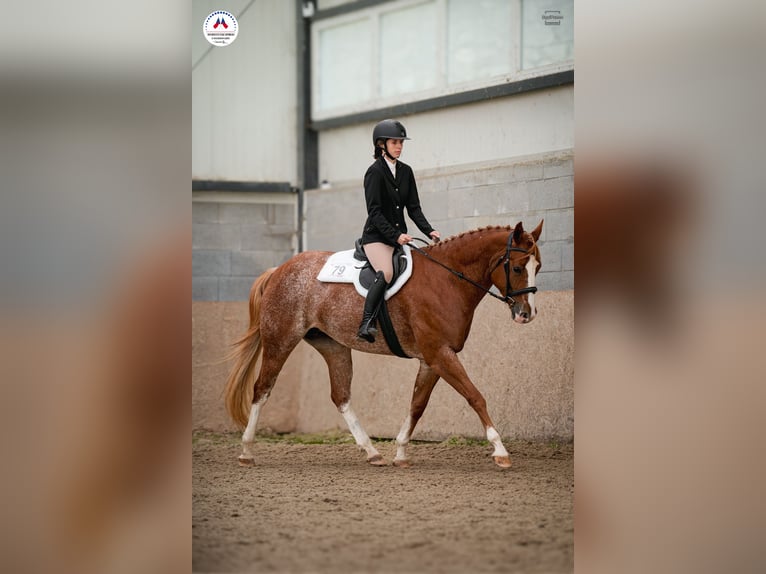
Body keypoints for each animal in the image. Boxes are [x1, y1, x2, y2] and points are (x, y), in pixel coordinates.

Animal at [224, 220, 543, 468]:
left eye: (538, 267)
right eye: (517, 268)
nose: (526, 314)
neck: (447, 279)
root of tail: (279, 269)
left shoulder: (432, 360)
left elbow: (417, 405)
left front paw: (400, 453)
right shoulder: (440, 354)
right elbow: (475, 396)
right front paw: (500, 451)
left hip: (333, 346)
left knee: (340, 396)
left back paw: (372, 452)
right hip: (281, 339)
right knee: (262, 389)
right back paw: (246, 452)